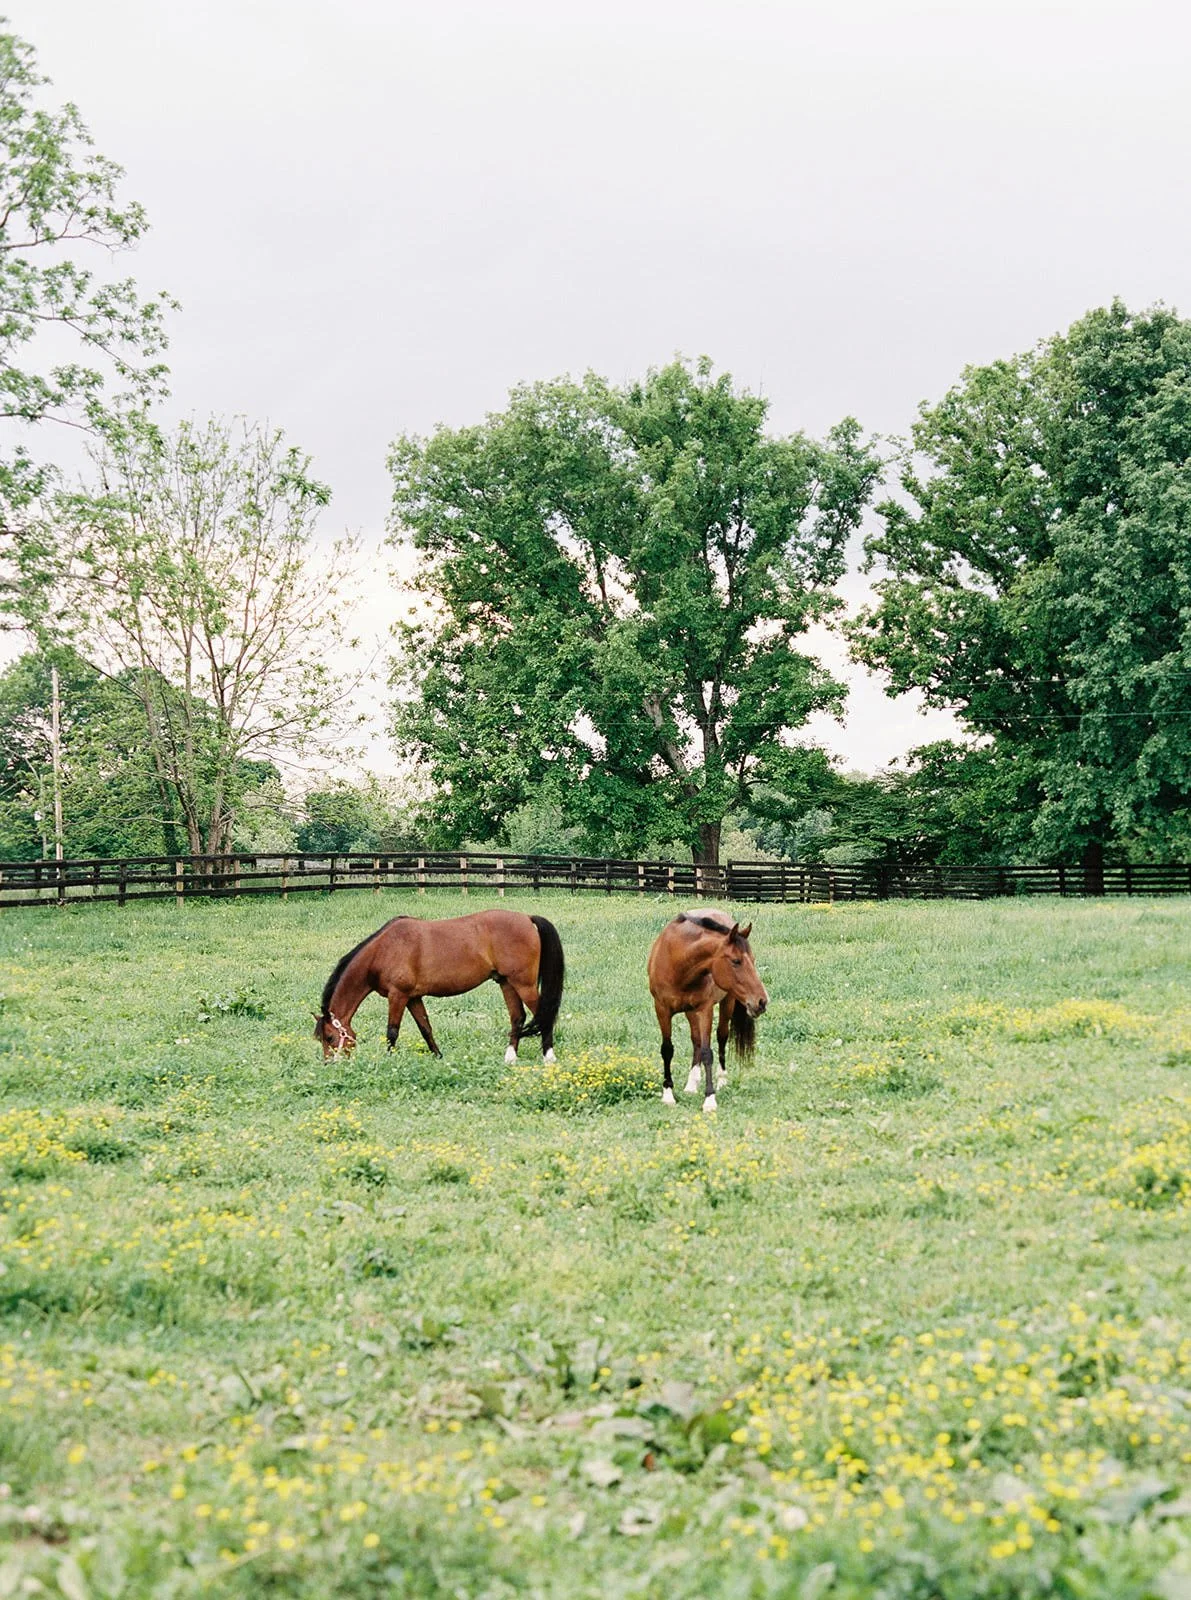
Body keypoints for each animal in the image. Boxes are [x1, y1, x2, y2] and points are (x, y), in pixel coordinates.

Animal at [313, 909, 565, 1063]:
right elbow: (426, 1028)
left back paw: (549, 1057)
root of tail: (527, 918)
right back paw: (510, 1057)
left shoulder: (398, 996)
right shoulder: (413, 998)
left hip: (524, 984)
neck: (384, 950)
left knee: (544, 1015)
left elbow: (392, 1031)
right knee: (518, 1017)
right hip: (506, 982)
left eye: (330, 1038)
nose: (329, 1064)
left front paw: (389, 1060)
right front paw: (438, 1056)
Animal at [646, 908, 768, 1113]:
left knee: (721, 1037)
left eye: (752, 960)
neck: (679, 963)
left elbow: (707, 1052)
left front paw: (710, 1099)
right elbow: (667, 1049)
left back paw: (722, 1080)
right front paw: (668, 1094)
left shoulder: (705, 1010)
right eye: (736, 961)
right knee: (695, 1040)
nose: (761, 1002)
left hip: (727, 1002)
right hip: (690, 1011)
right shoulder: (661, 1009)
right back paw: (691, 1083)